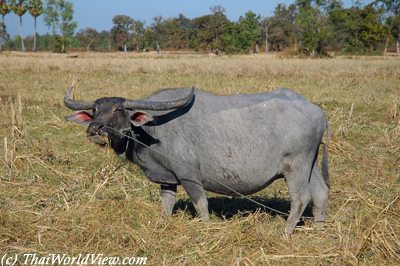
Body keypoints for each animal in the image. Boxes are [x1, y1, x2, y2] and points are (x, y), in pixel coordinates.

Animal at [64, 85, 330, 235]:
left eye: (118, 110)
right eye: (95, 110)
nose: (94, 129)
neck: (153, 129)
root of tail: (316, 110)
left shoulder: (189, 177)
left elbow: (201, 204)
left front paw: (205, 227)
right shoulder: (167, 179)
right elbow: (167, 204)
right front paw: (164, 225)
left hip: (296, 167)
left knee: (301, 198)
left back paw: (285, 232)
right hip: (311, 164)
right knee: (320, 193)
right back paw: (318, 229)